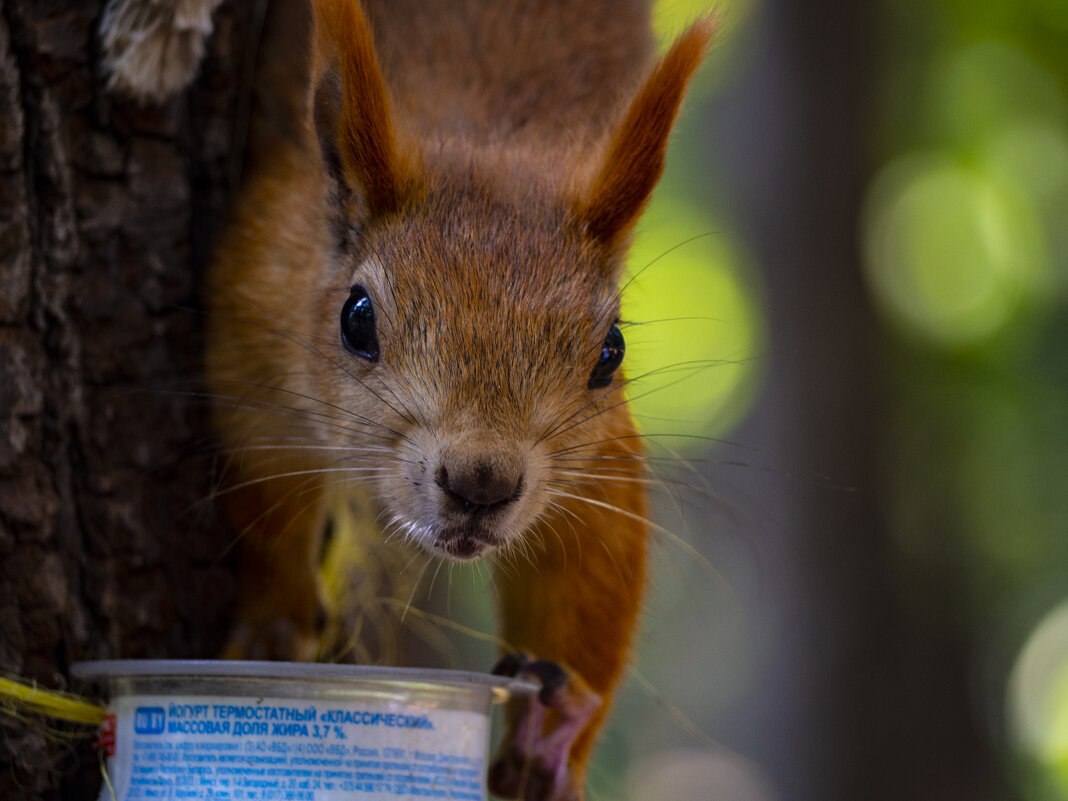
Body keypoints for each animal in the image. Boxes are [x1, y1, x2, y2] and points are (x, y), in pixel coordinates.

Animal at [195, 1, 713, 801]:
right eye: (356, 318)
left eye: (611, 351)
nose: (483, 483)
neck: (488, 136)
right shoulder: (254, 308)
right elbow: (264, 483)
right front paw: (275, 624)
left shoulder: (592, 461)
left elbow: (589, 573)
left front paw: (552, 743)